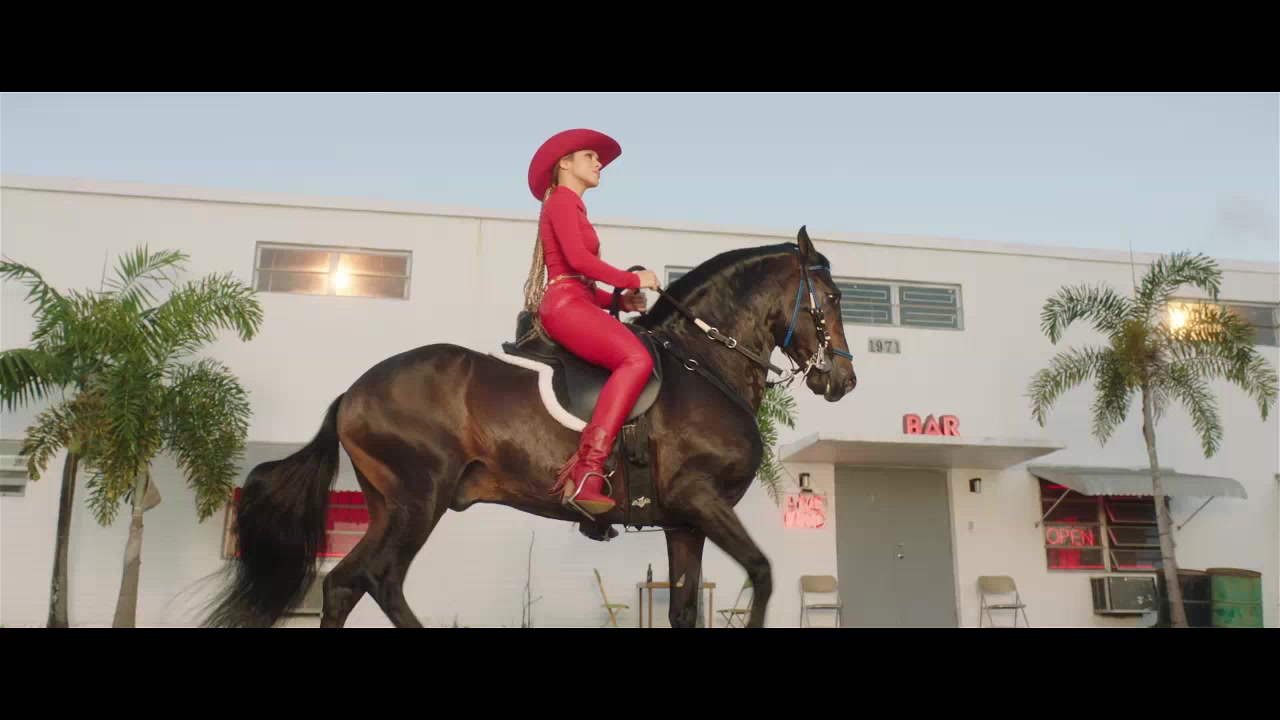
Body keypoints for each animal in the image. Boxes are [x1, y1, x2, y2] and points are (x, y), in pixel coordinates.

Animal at [199, 226, 857, 628]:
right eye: (831, 296)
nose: (844, 381)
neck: (704, 361)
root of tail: (352, 393)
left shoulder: (685, 522)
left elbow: (684, 610)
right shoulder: (701, 499)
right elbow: (763, 574)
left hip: (388, 505)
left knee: (341, 584)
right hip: (419, 500)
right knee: (379, 578)